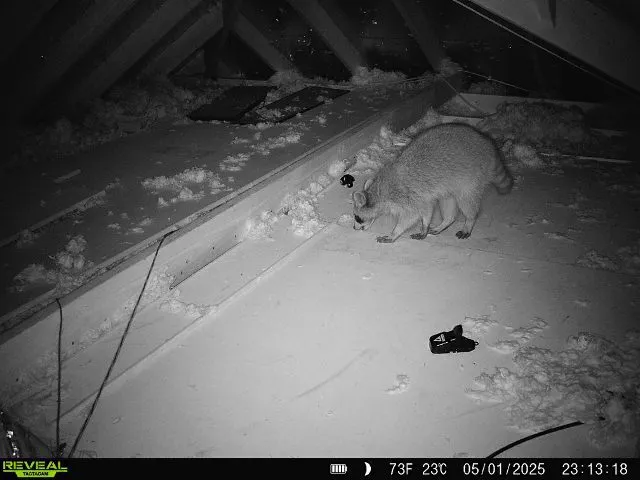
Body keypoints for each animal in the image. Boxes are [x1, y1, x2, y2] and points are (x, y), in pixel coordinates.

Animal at [352, 122, 513, 243]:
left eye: (357, 217)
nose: (354, 228)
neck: (378, 193)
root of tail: (487, 142)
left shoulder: (406, 195)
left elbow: (410, 217)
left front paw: (395, 233)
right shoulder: (423, 196)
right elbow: (427, 209)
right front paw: (425, 225)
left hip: (471, 177)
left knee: (466, 201)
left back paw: (469, 221)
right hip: (450, 184)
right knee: (448, 201)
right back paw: (446, 221)